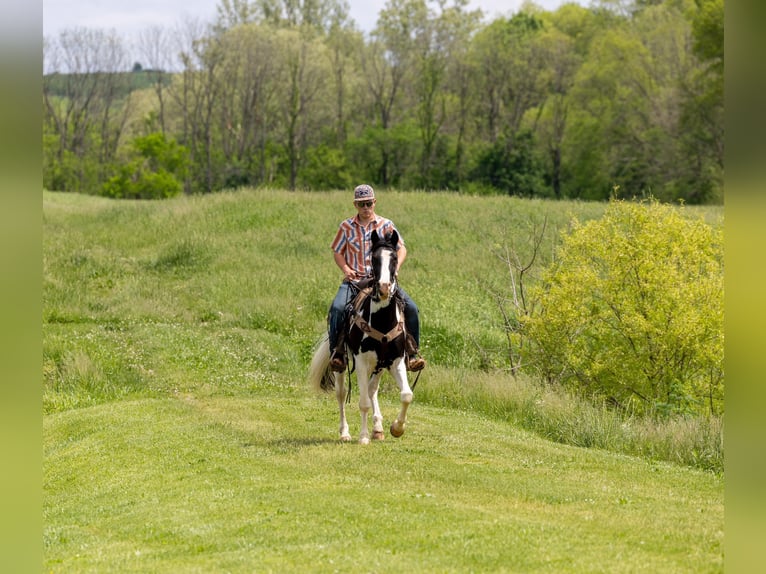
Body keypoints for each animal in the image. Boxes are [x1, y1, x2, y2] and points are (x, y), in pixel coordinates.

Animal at [308, 230, 414, 446]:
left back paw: (378, 428)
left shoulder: (396, 360)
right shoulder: (362, 361)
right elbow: (363, 402)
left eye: (394, 258)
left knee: (372, 389)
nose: (383, 288)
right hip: (342, 363)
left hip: (379, 365)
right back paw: (345, 432)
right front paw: (363, 437)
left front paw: (397, 428)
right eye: (373, 259)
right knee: (341, 394)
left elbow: (406, 395)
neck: (382, 321)